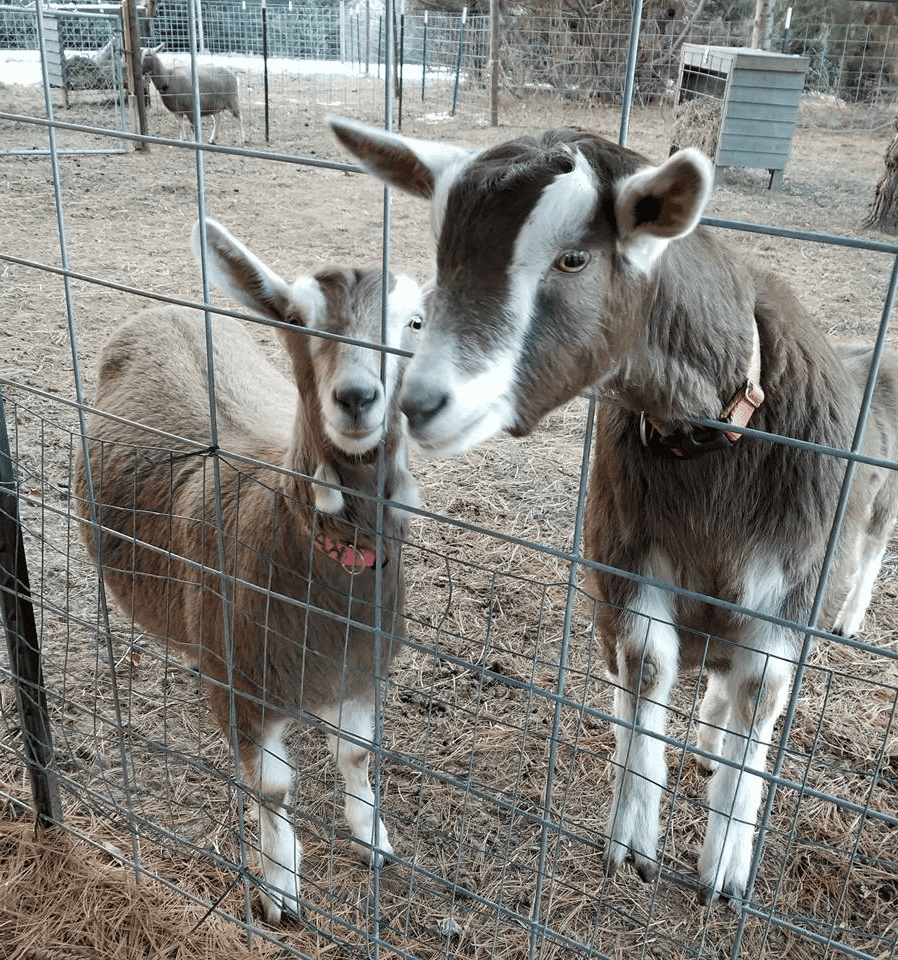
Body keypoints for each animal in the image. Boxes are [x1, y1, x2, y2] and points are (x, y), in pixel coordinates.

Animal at [75, 218, 423, 923]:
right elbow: (273, 789)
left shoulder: (365, 667)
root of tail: (163, 310)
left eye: (415, 322)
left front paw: (373, 839)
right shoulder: (245, 685)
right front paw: (280, 887)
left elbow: (355, 752)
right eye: (296, 318)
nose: (357, 397)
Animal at [328, 117, 898, 904]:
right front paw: (631, 839)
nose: (419, 402)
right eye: (443, 248)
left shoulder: (793, 589)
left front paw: (726, 868)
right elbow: (644, 671)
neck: (714, 442)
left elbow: (760, 698)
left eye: (573, 258)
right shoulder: (624, 564)